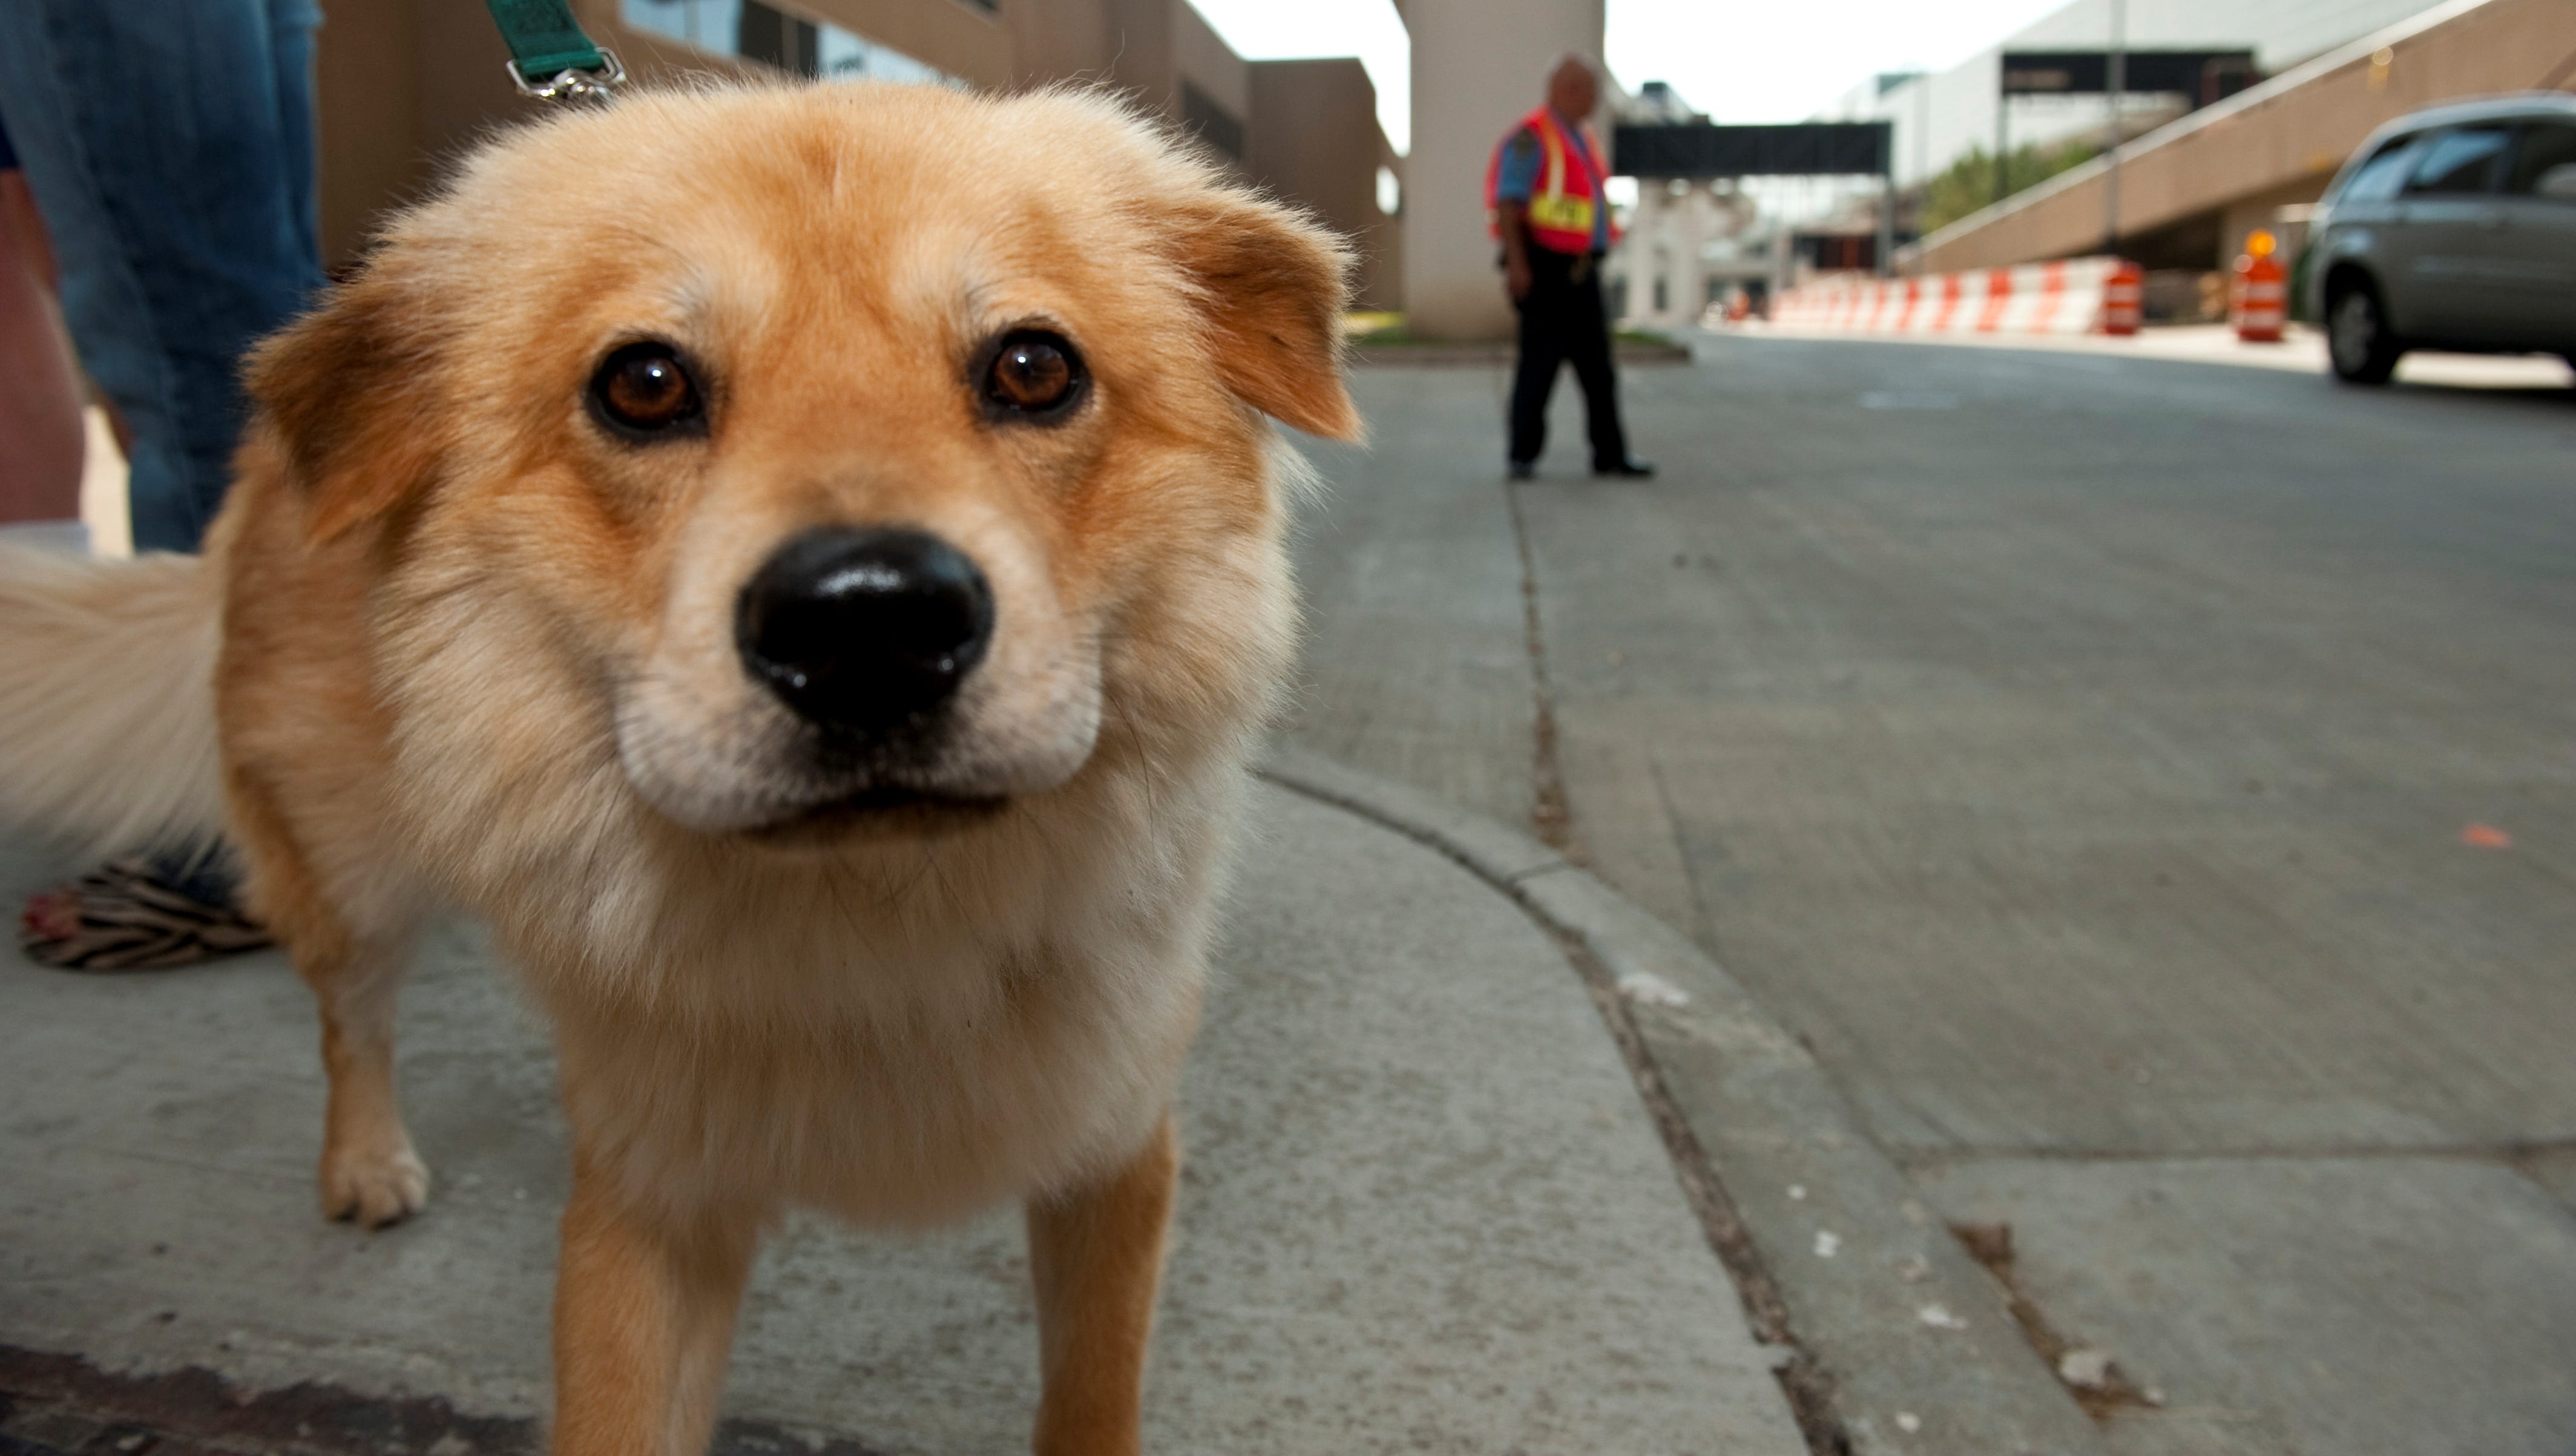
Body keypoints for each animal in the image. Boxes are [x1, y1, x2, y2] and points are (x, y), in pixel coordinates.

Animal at [0, 85, 1360, 1453]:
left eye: (1035, 368)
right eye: (644, 386)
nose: (867, 626)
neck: (873, 921)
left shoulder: (1118, 1159)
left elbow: (1090, 1399)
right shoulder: (645, 1201)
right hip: (347, 877)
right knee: (351, 1022)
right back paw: (365, 1161)